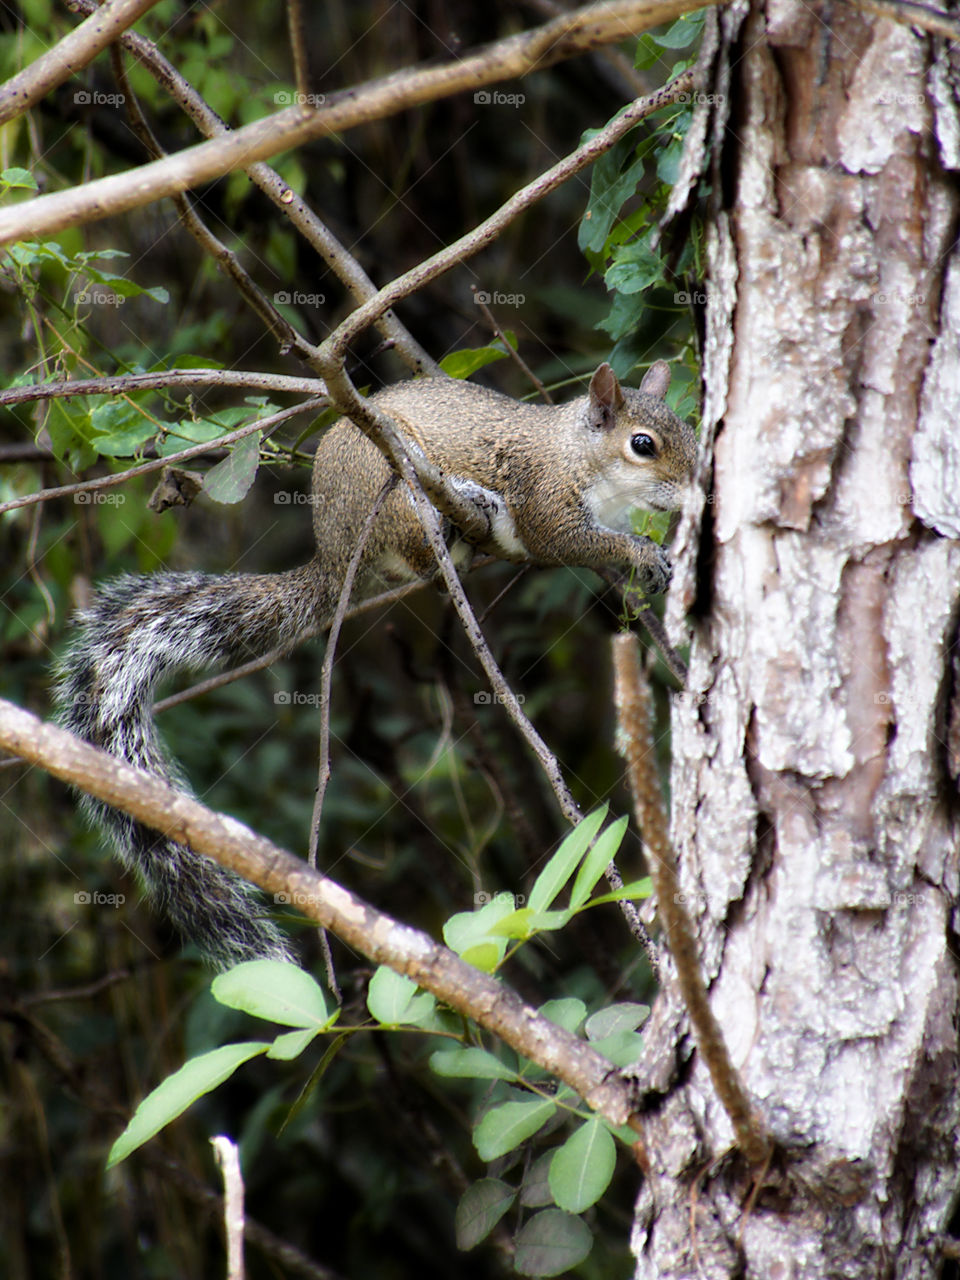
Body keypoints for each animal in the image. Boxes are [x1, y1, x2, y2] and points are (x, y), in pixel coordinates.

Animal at [54, 355, 701, 962]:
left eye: (692, 431)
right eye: (643, 445)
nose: (697, 493)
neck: (579, 454)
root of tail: (337, 551)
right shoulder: (547, 499)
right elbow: (567, 541)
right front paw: (640, 554)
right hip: (392, 486)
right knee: (421, 543)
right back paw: (474, 505)